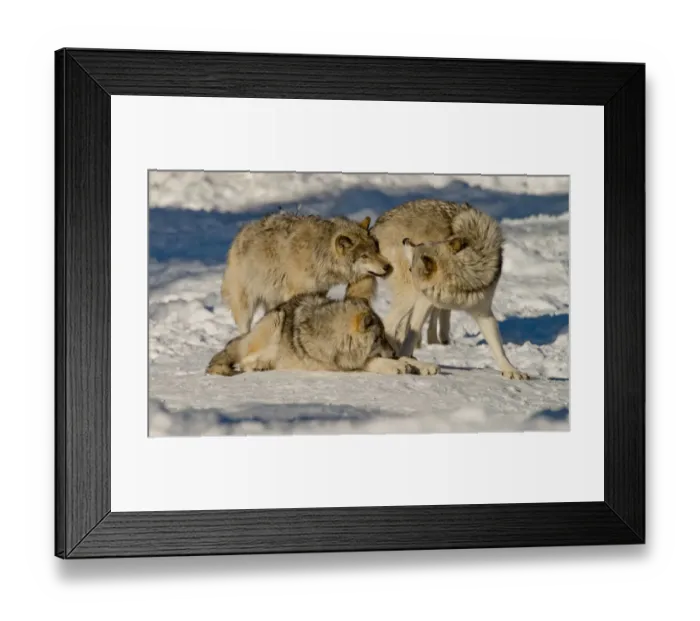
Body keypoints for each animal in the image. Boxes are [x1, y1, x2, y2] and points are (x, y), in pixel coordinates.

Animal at [205, 293, 440, 376]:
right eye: (379, 338)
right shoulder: (338, 364)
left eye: (385, 337)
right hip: (274, 322)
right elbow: (371, 362)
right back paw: (257, 365)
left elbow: (407, 358)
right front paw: (395, 366)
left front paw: (423, 365)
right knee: (243, 359)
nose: (392, 353)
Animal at [221, 213, 392, 333]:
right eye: (364, 256)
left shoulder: (318, 293)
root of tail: (240, 233)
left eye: (376, 249)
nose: (388, 267)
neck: (319, 254)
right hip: (246, 305)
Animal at [370, 199, 530, 380]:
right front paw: (407, 358)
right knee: (389, 325)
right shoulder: (424, 301)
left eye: (421, 245)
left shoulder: (483, 312)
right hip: (409, 297)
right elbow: (412, 334)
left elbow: (498, 347)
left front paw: (511, 370)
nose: (405, 240)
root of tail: (377, 225)